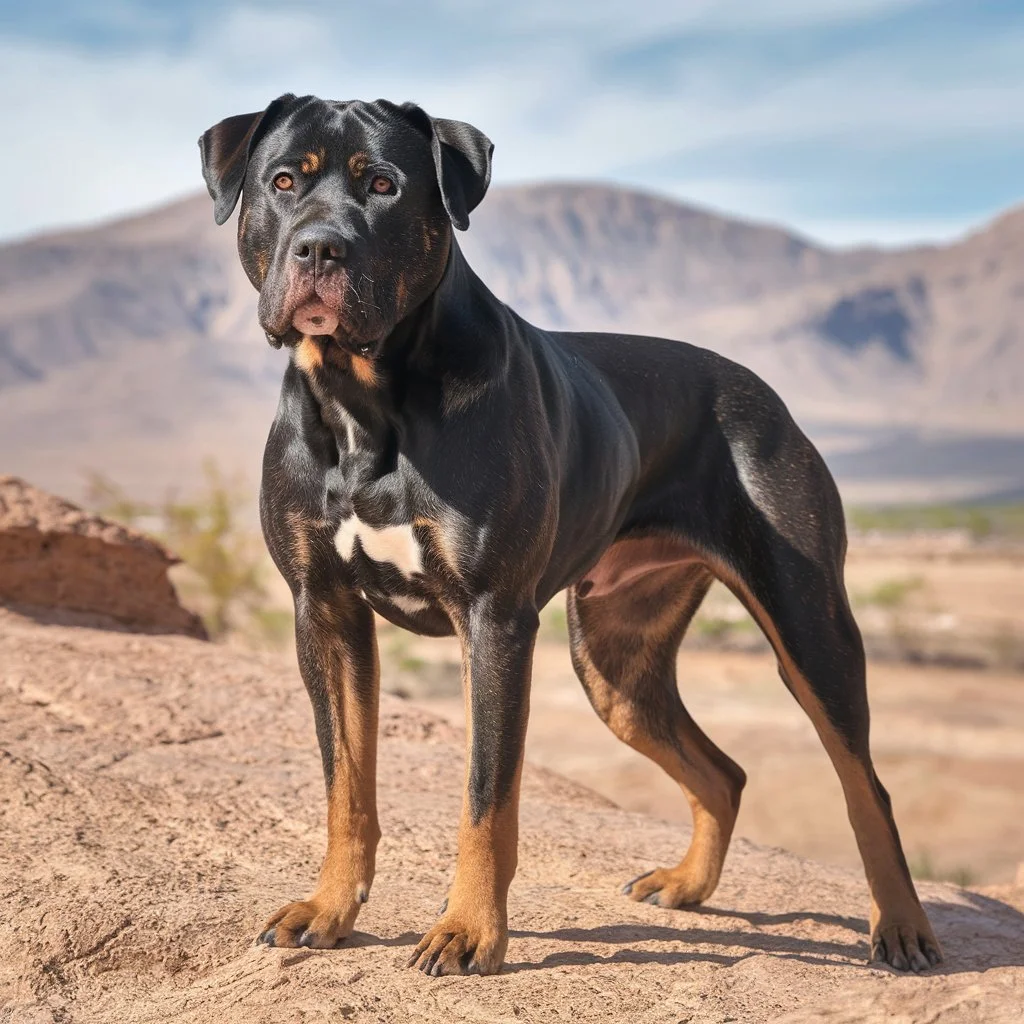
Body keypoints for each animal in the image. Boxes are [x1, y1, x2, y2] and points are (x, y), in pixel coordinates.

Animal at [195, 94, 937, 974]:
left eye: (382, 185)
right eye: (283, 182)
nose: (320, 246)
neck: (361, 398)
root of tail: (764, 392)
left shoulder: (494, 617)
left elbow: (487, 794)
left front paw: (467, 931)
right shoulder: (325, 608)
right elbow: (346, 783)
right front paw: (329, 909)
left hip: (809, 627)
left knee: (866, 784)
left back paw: (903, 927)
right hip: (614, 663)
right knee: (722, 773)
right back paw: (686, 885)